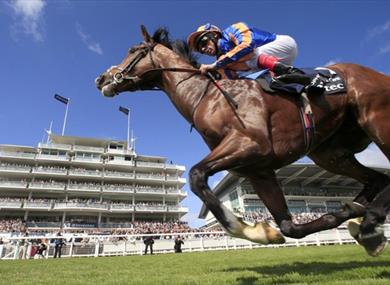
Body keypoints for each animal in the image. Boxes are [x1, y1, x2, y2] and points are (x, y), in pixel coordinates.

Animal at [96, 25, 390, 254]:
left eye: (134, 49)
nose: (102, 78)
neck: (208, 96)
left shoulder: (251, 145)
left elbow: (196, 175)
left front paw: (248, 229)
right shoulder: (257, 169)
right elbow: (289, 226)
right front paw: (268, 231)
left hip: (378, 123)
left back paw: (369, 221)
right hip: (330, 154)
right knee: (378, 179)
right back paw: (361, 218)